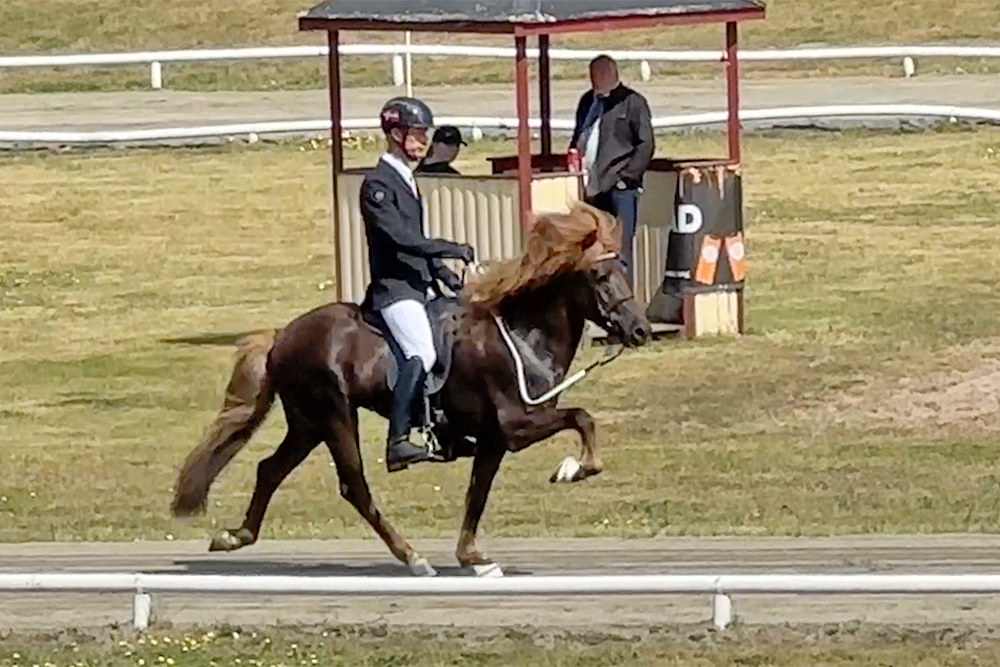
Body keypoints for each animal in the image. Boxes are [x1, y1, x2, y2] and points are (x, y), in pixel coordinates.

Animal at [170, 201, 656, 576]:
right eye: (599, 278)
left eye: (622, 269)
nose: (641, 330)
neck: (522, 333)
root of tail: (282, 335)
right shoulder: (515, 425)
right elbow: (582, 417)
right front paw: (575, 469)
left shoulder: (494, 440)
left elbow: (478, 493)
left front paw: (473, 556)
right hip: (333, 416)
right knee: (354, 486)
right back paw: (411, 556)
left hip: (307, 423)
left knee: (269, 470)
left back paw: (236, 537)